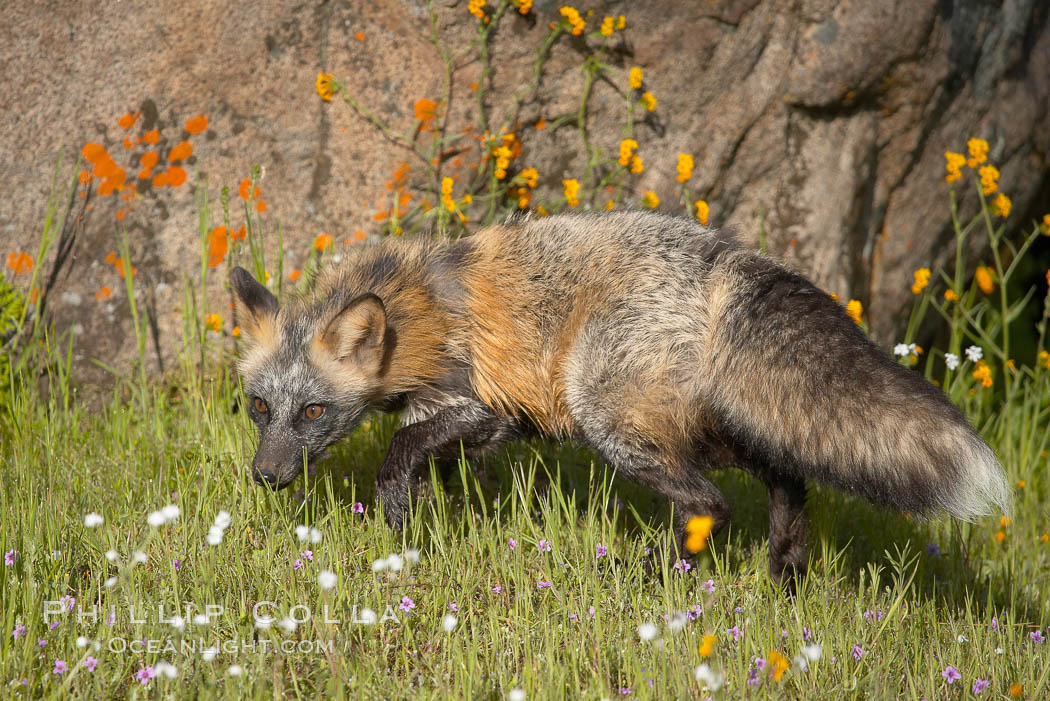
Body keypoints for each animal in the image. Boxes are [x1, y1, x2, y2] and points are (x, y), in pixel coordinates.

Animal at [232, 207, 1007, 587]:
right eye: (259, 407)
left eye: (314, 411)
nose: (264, 476)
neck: (412, 311)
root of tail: (729, 259)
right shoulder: (485, 427)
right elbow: (435, 472)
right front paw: (428, 530)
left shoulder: (480, 406)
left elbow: (399, 449)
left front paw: (397, 515)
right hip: (706, 426)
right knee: (785, 478)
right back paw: (783, 573)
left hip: (610, 420)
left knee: (710, 505)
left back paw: (640, 576)